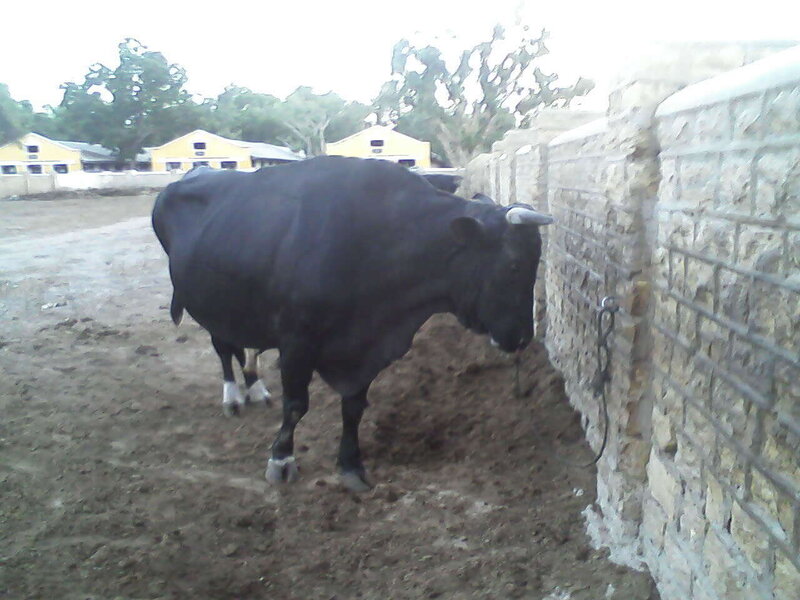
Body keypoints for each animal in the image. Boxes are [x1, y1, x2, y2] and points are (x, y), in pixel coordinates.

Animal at [152, 156, 553, 492]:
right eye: (514, 265)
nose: (522, 337)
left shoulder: (365, 350)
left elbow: (354, 407)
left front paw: (351, 465)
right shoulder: (297, 340)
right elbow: (296, 404)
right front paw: (281, 460)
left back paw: (255, 388)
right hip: (205, 301)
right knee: (223, 348)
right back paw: (234, 395)